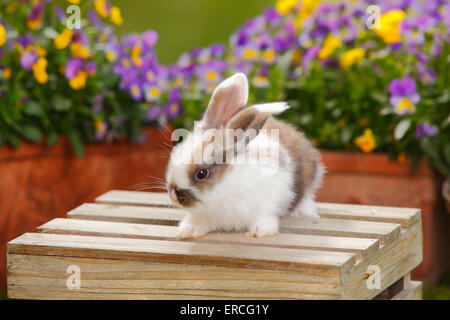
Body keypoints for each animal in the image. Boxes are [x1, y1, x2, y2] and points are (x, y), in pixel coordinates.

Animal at [165, 72, 324, 238]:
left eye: (201, 173)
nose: (173, 194)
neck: (227, 184)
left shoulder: (269, 201)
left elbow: (266, 217)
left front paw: (261, 231)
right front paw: (188, 230)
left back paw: (304, 212)